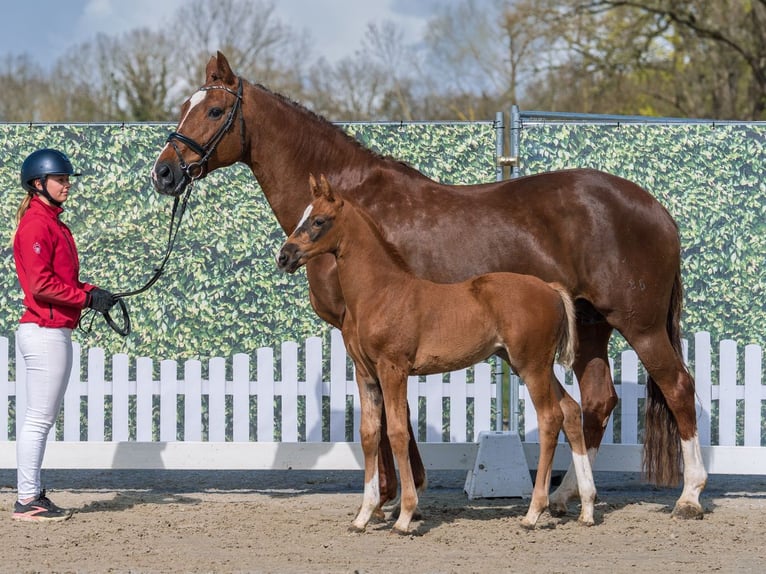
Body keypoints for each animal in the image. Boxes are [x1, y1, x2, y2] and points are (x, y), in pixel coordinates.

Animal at [277, 174, 595, 532]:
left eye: (319, 220)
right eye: (303, 216)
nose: (284, 257)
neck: (381, 292)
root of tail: (550, 288)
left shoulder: (393, 369)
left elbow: (397, 432)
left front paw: (404, 515)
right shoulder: (366, 373)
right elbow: (370, 434)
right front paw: (363, 516)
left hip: (532, 367)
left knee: (550, 418)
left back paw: (533, 512)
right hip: (530, 365)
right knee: (571, 411)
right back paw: (586, 508)